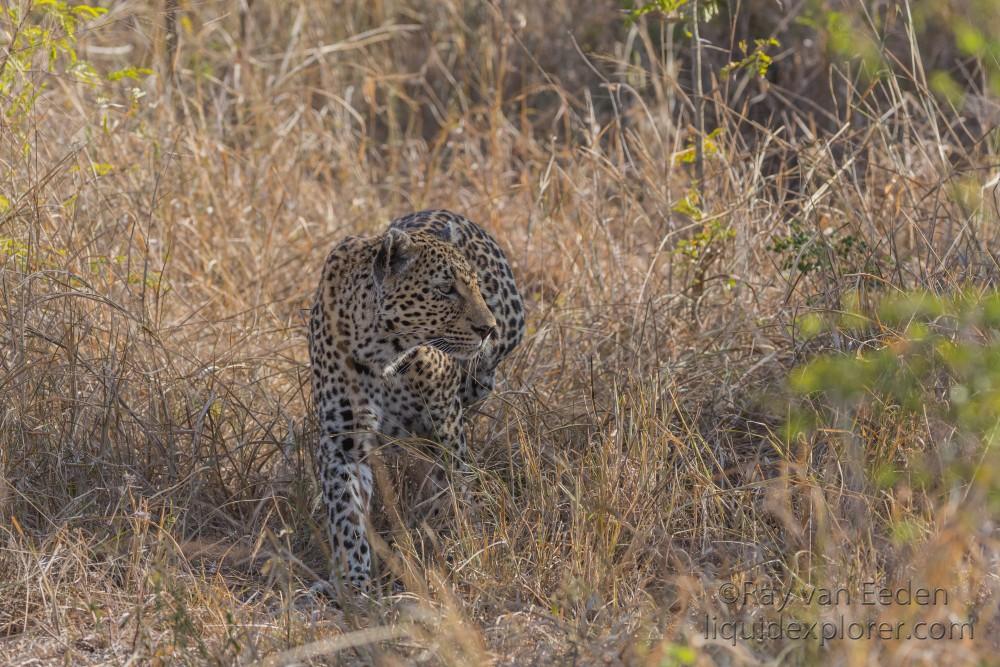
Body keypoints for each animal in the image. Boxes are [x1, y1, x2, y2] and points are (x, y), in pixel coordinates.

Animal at [304, 210, 524, 596]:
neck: (381, 354)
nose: (488, 328)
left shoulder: (447, 430)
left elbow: (452, 490)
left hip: (486, 372)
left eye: (475, 286)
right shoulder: (343, 442)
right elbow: (347, 513)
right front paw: (352, 580)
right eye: (445, 289)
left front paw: (444, 543)